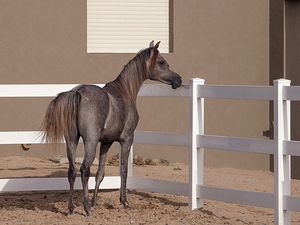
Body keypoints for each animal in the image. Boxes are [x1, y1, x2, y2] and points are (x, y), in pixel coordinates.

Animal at [41, 41, 182, 215]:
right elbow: (123, 170)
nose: (178, 79)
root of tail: (77, 93)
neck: (124, 92)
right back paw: (86, 208)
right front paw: (124, 201)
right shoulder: (126, 140)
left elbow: (100, 173)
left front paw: (95, 202)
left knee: (72, 171)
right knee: (84, 169)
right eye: (161, 62)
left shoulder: (106, 142)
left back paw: (72, 208)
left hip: (72, 141)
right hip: (90, 142)